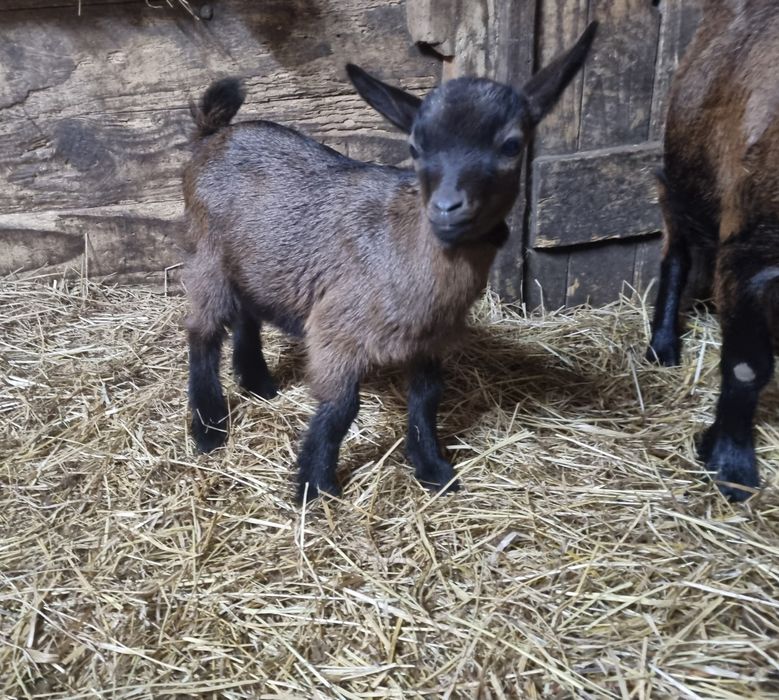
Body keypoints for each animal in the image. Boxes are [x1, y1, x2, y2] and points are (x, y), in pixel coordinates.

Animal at [184, 22, 597, 501]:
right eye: (415, 146)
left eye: (512, 145)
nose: (447, 208)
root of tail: (212, 135)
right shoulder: (336, 330)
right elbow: (341, 407)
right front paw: (315, 484)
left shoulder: (430, 339)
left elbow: (427, 399)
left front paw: (432, 467)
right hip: (207, 256)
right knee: (203, 332)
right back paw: (210, 427)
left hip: (254, 260)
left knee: (247, 313)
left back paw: (258, 384)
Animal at [646, 0, 779, 501]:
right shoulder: (749, 252)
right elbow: (746, 367)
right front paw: (730, 466)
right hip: (680, 181)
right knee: (676, 254)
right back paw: (662, 347)